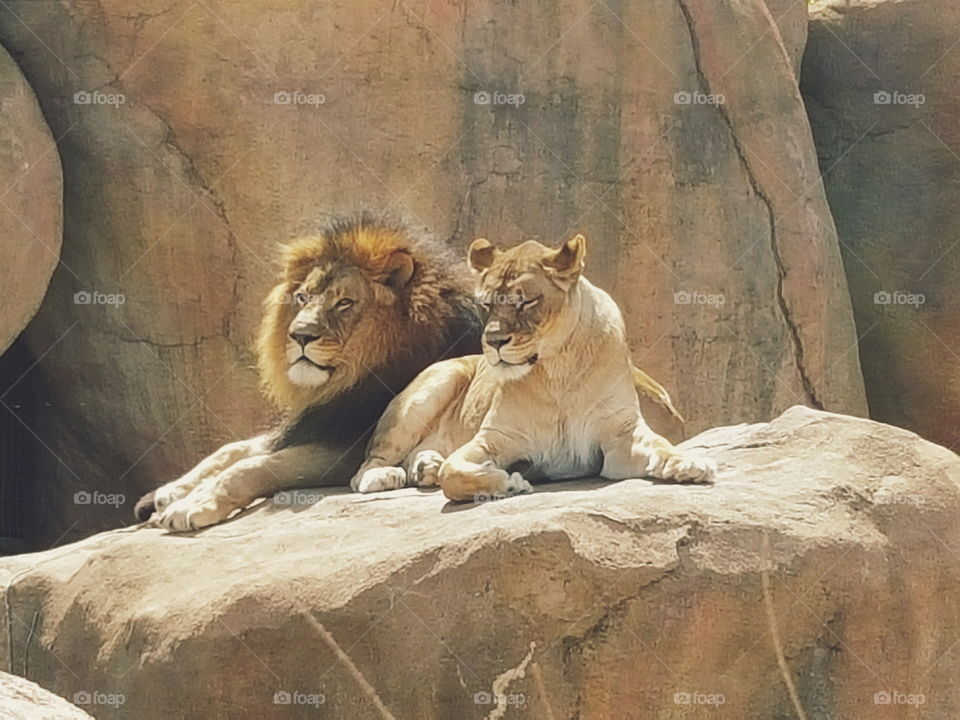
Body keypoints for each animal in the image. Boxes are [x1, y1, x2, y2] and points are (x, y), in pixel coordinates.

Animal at [348, 233, 714, 501]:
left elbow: (661, 445)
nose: (493, 341)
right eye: (486, 303)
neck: (558, 369)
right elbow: (453, 473)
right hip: (435, 384)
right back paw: (388, 475)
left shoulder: (619, 437)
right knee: (365, 467)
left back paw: (425, 466)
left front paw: (687, 463)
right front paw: (507, 483)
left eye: (525, 301)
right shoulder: (494, 439)